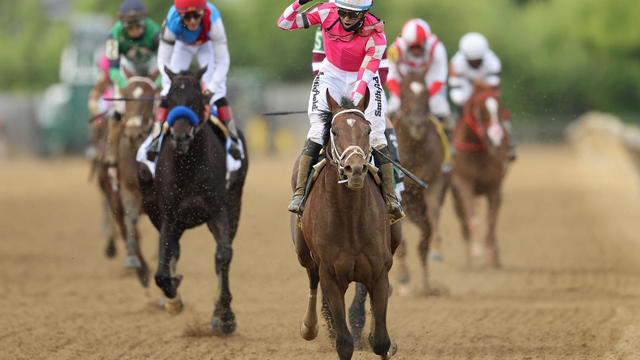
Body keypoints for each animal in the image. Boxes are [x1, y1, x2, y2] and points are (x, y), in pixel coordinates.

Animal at [138, 68, 248, 334]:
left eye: (197, 100)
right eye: (168, 99)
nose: (180, 136)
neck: (188, 167)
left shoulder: (217, 211)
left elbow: (223, 255)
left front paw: (224, 316)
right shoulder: (169, 217)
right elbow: (161, 270)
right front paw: (173, 298)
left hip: (234, 207)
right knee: (173, 253)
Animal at [292, 89, 400, 360]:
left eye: (367, 129)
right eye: (335, 131)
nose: (355, 169)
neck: (350, 218)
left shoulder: (379, 272)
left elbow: (381, 340)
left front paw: (380, 340)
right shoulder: (331, 277)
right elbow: (344, 343)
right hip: (303, 253)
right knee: (311, 278)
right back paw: (309, 326)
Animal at [390, 68, 450, 296]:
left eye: (426, 93)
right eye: (405, 93)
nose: (417, 124)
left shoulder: (435, 180)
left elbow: (434, 214)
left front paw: (437, 248)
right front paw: (403, 274)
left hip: (418, 210)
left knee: (424, 238)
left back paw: (426, 286)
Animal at [450, 84, 510, 268]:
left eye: (501, 109)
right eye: (481, 111)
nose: (497, 139)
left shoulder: (494, 187)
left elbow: (491, 220)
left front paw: (491, 255)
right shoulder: (464, 184)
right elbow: (472, 217)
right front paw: (477, 252)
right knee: (463, 222)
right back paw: (469, 259)